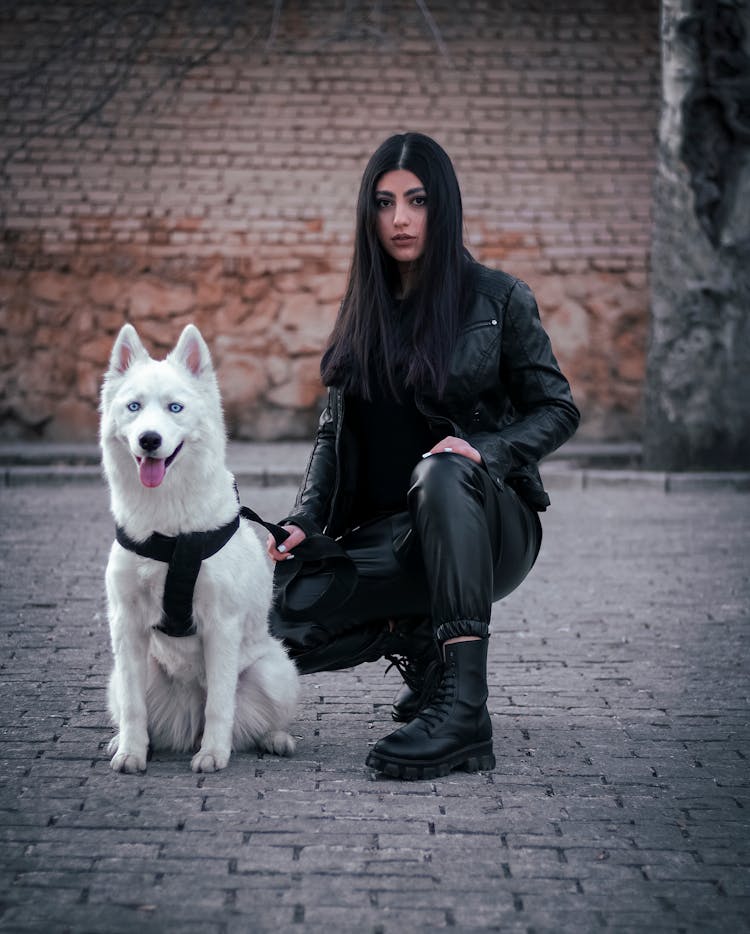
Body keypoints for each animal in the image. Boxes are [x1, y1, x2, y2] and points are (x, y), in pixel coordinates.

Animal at [100, 322, 300, 776]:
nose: (149, 440)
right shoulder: (127, 625)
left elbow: (220, 705)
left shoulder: (220, 624)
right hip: (123, 674)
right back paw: (125, 740)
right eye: (134, 407)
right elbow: (135, 708)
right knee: (136, 709)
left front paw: (213, 754)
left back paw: (274, 739)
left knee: (253, 719)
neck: (170, 532)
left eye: (175, 408)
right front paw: (131, 753)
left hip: (274, 671)